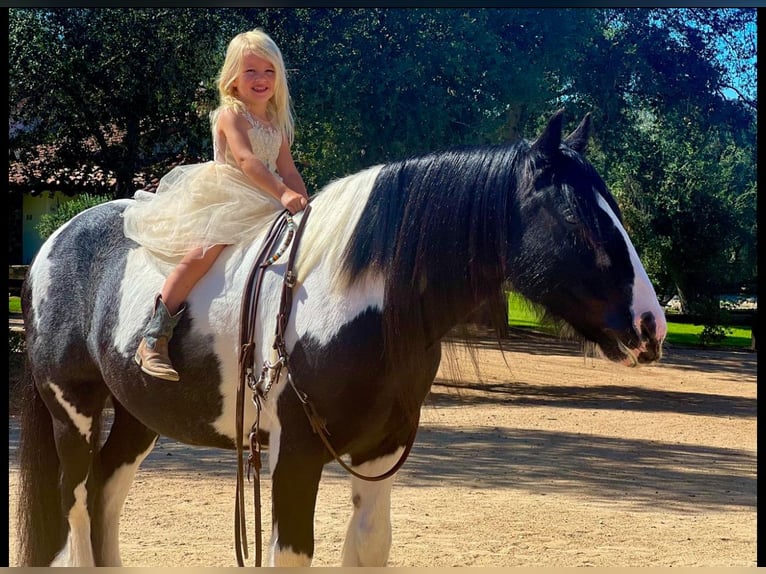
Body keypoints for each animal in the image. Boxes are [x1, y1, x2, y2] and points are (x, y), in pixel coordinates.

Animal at [16, 110, 664, 568]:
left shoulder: (378, 455)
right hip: (72, 411)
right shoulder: (294, 457)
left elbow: (370, 548)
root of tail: (56, 242)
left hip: (137, 415)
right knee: (75, 505)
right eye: (578, 217)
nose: (651, 326)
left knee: (104, 494)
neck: (356, 300)